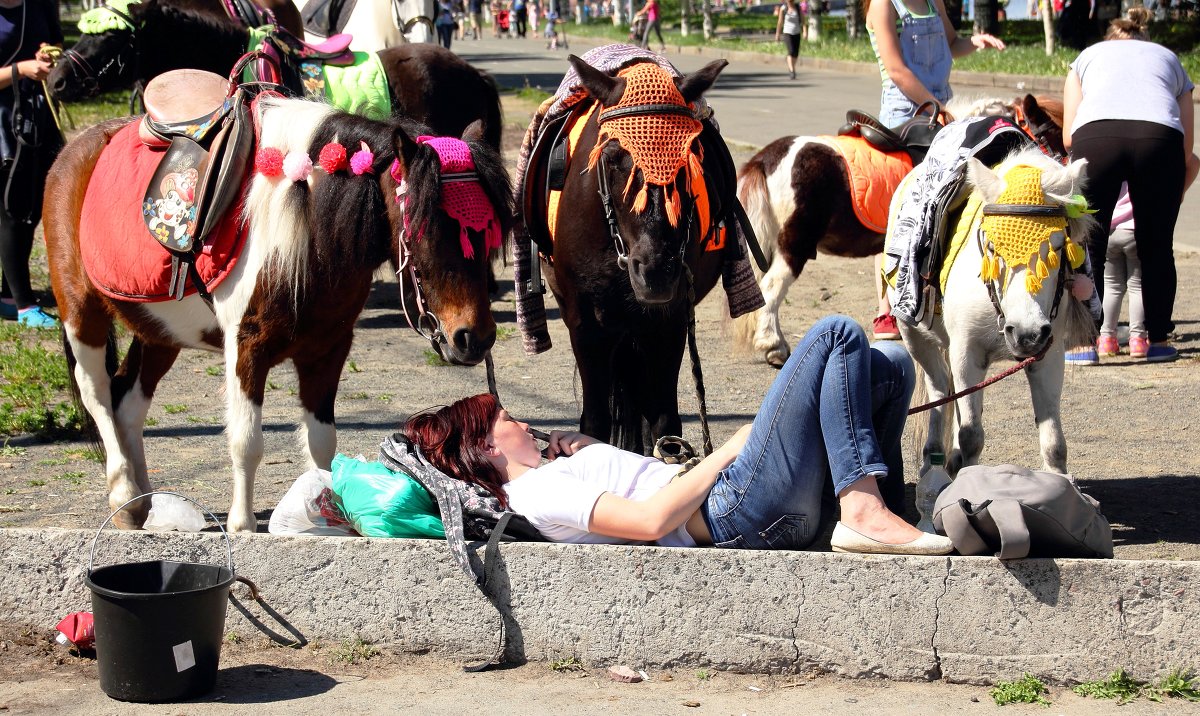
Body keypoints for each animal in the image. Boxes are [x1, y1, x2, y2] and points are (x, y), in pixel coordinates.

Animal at [41, 96, 511, 530]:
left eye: (489, 232)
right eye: (427, 228)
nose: (475, 338)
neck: (308, 229)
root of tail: (76, 148)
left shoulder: (327, 350)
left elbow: (323, 444)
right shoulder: (247, 347)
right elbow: (246, 441)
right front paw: (243, 525)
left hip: (159, 333)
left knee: (128, 402)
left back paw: (141, 502)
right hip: (82, 312)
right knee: (98, 392)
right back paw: (124, 492)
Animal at [892, 146, 1099, 474]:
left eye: (1057, 247)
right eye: (992, 247)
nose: (1027, 334)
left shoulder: (1049, 354)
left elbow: (1054, 443)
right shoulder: (966, 351)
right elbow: (971, 435)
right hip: (916, 337)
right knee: (939, 389)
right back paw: (932, 463)